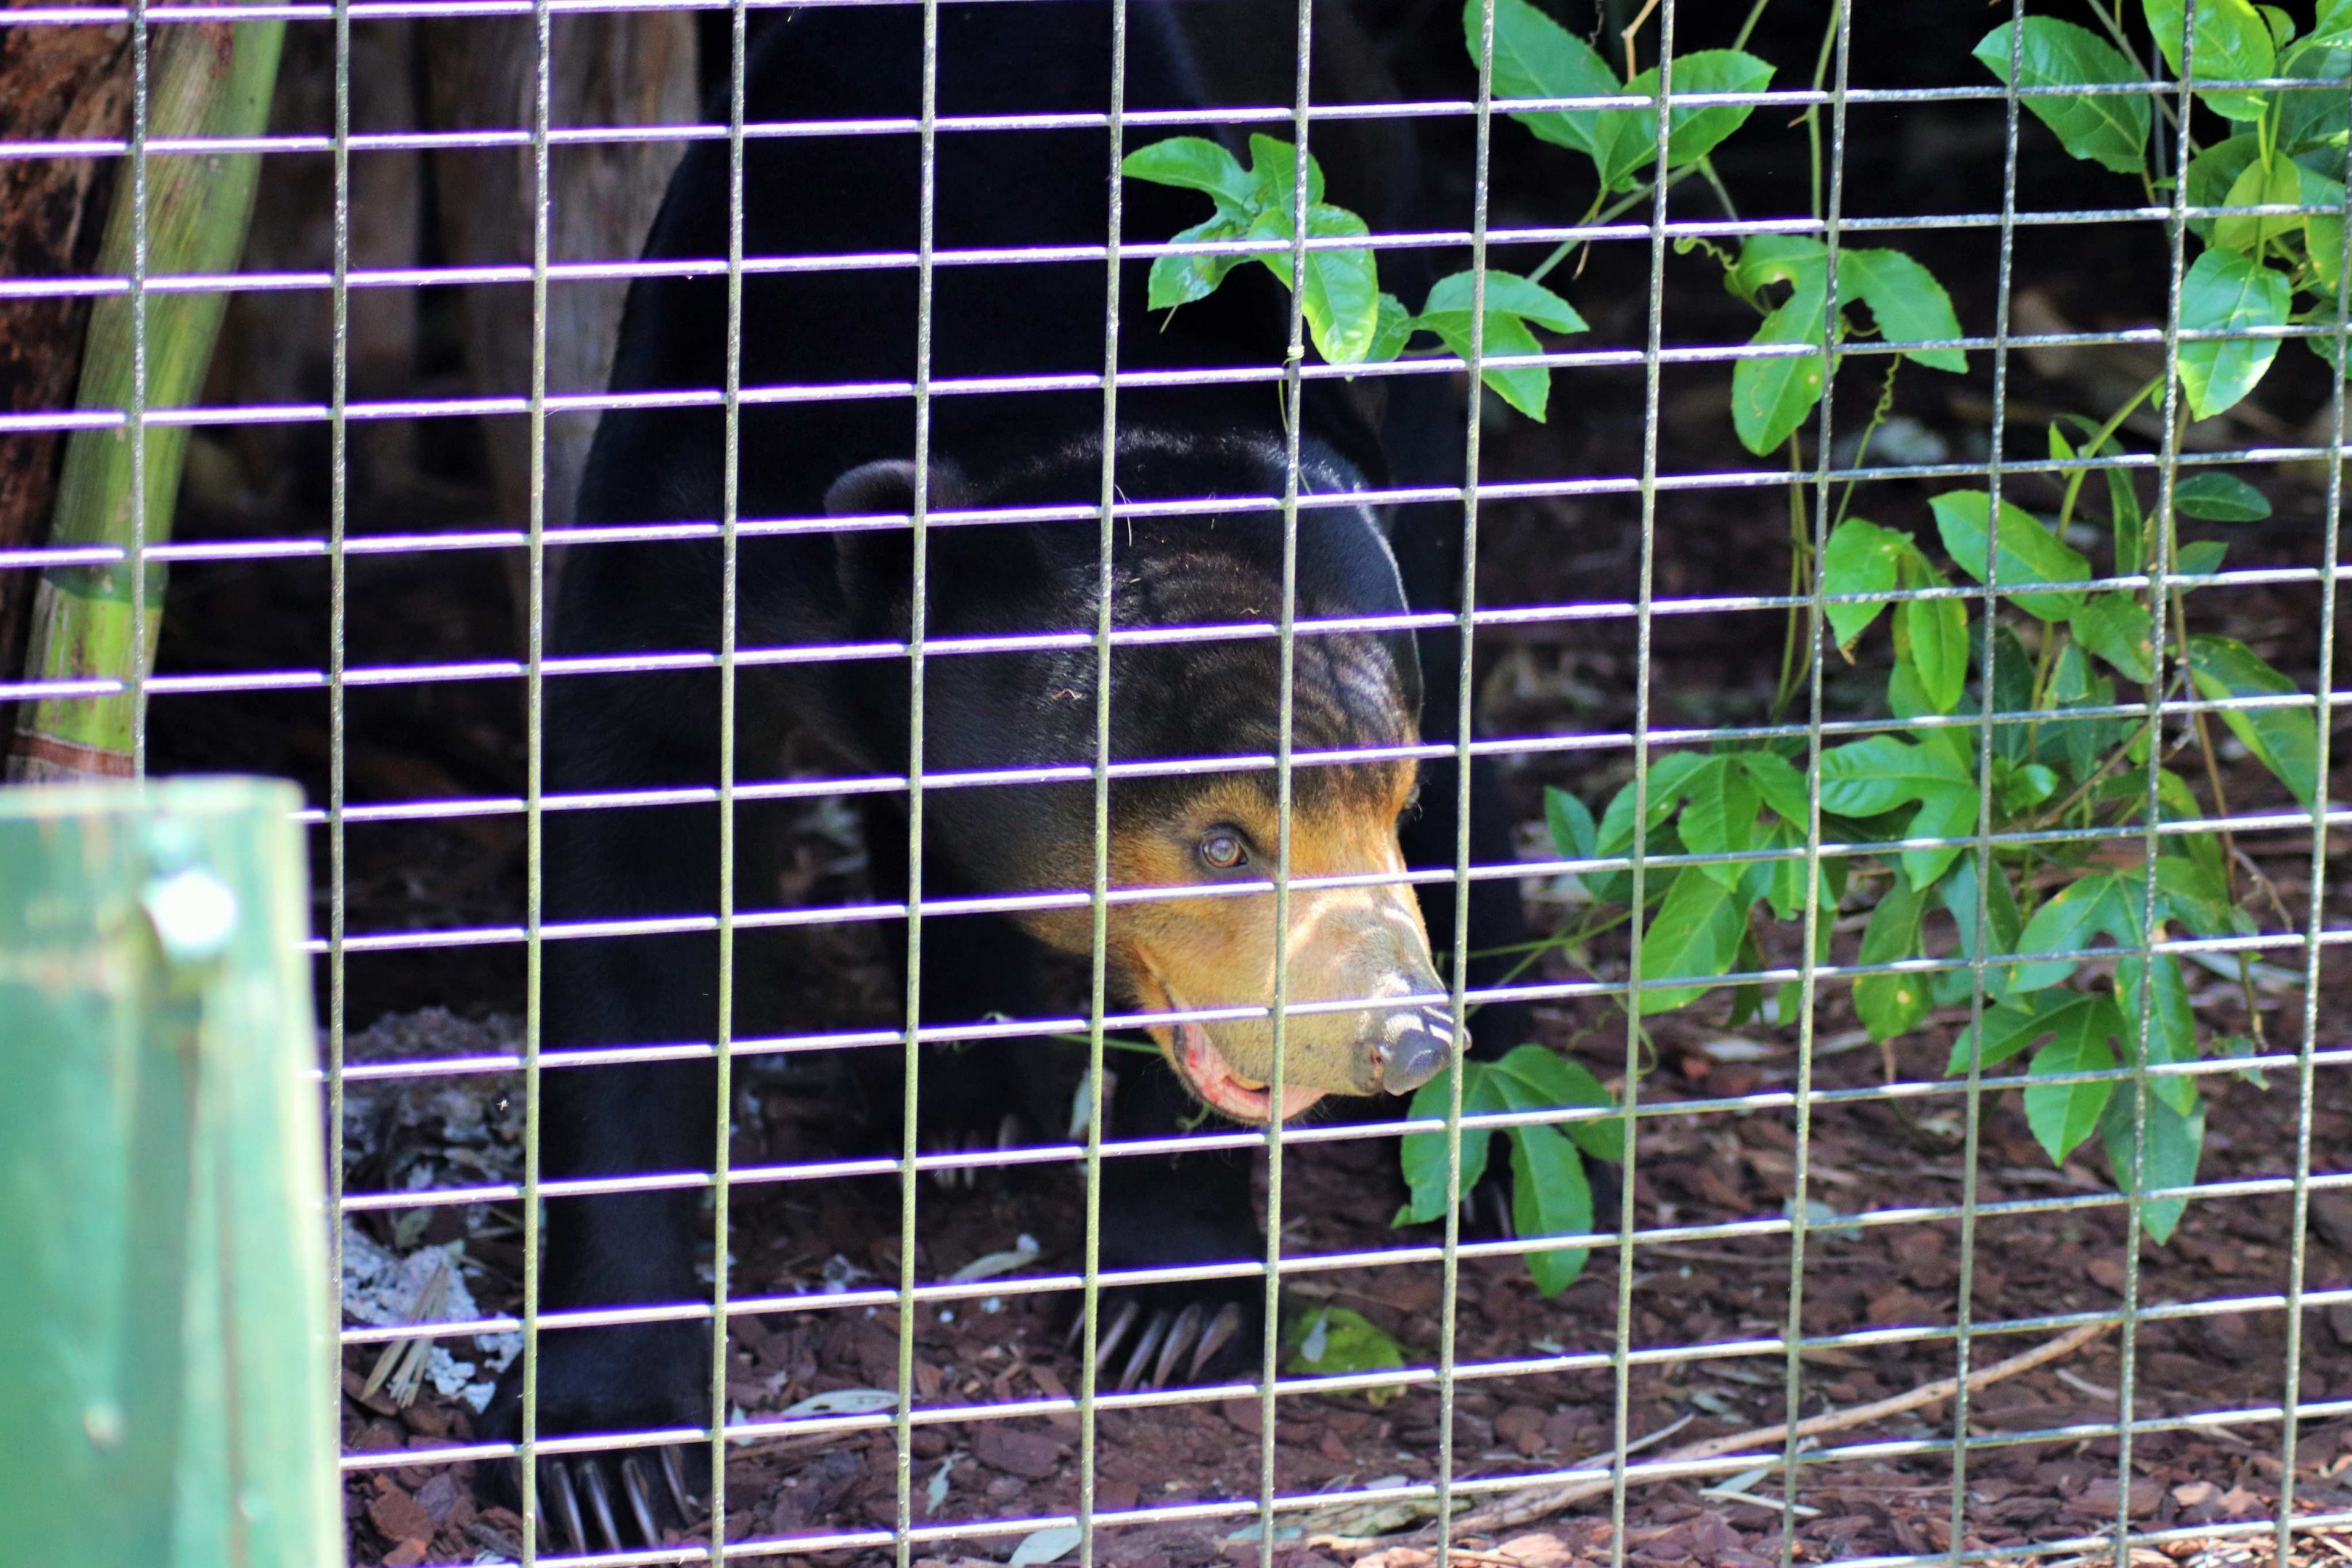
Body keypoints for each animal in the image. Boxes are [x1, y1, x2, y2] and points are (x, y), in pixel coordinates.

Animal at [493, 0, 1532, 1551]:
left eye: (1385, 807)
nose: (1399, 1038)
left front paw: (1170, 1308)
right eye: (1219, 841)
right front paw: (602, 1457)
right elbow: (629, 901)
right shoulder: (685, 491)